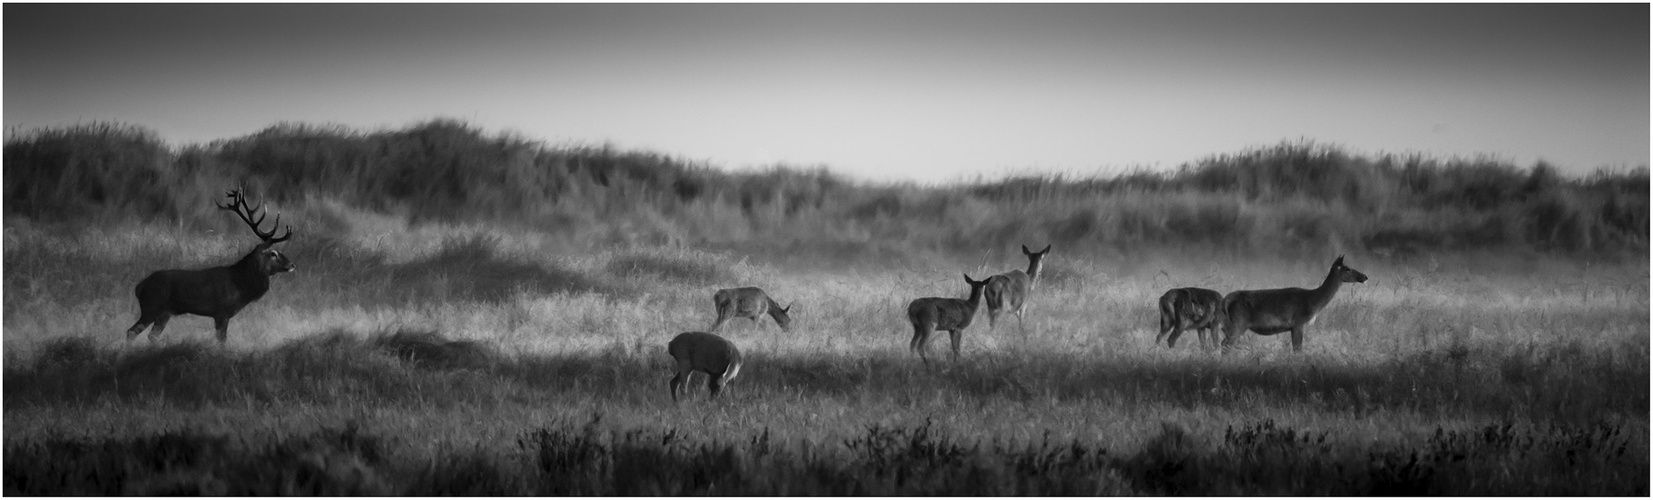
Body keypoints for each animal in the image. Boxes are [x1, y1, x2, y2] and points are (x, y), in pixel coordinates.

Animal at [122, 185, 294, 346]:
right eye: (273, 253)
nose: (291, 264)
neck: (240, 284)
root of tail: (139, 288)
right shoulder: (221, 312)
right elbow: (222, 340)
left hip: (164, 313)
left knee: (151, 335)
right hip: (151, 306)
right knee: (131, 331)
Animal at [1216, 256, 1368, 354]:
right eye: (1347, 268)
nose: (1365, 276)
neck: (1314, 301)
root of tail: (1225, 301)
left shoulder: (1293, 327)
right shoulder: (1298, 322)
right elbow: (1298, 350)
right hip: (1238, 324)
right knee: (1224, 345)